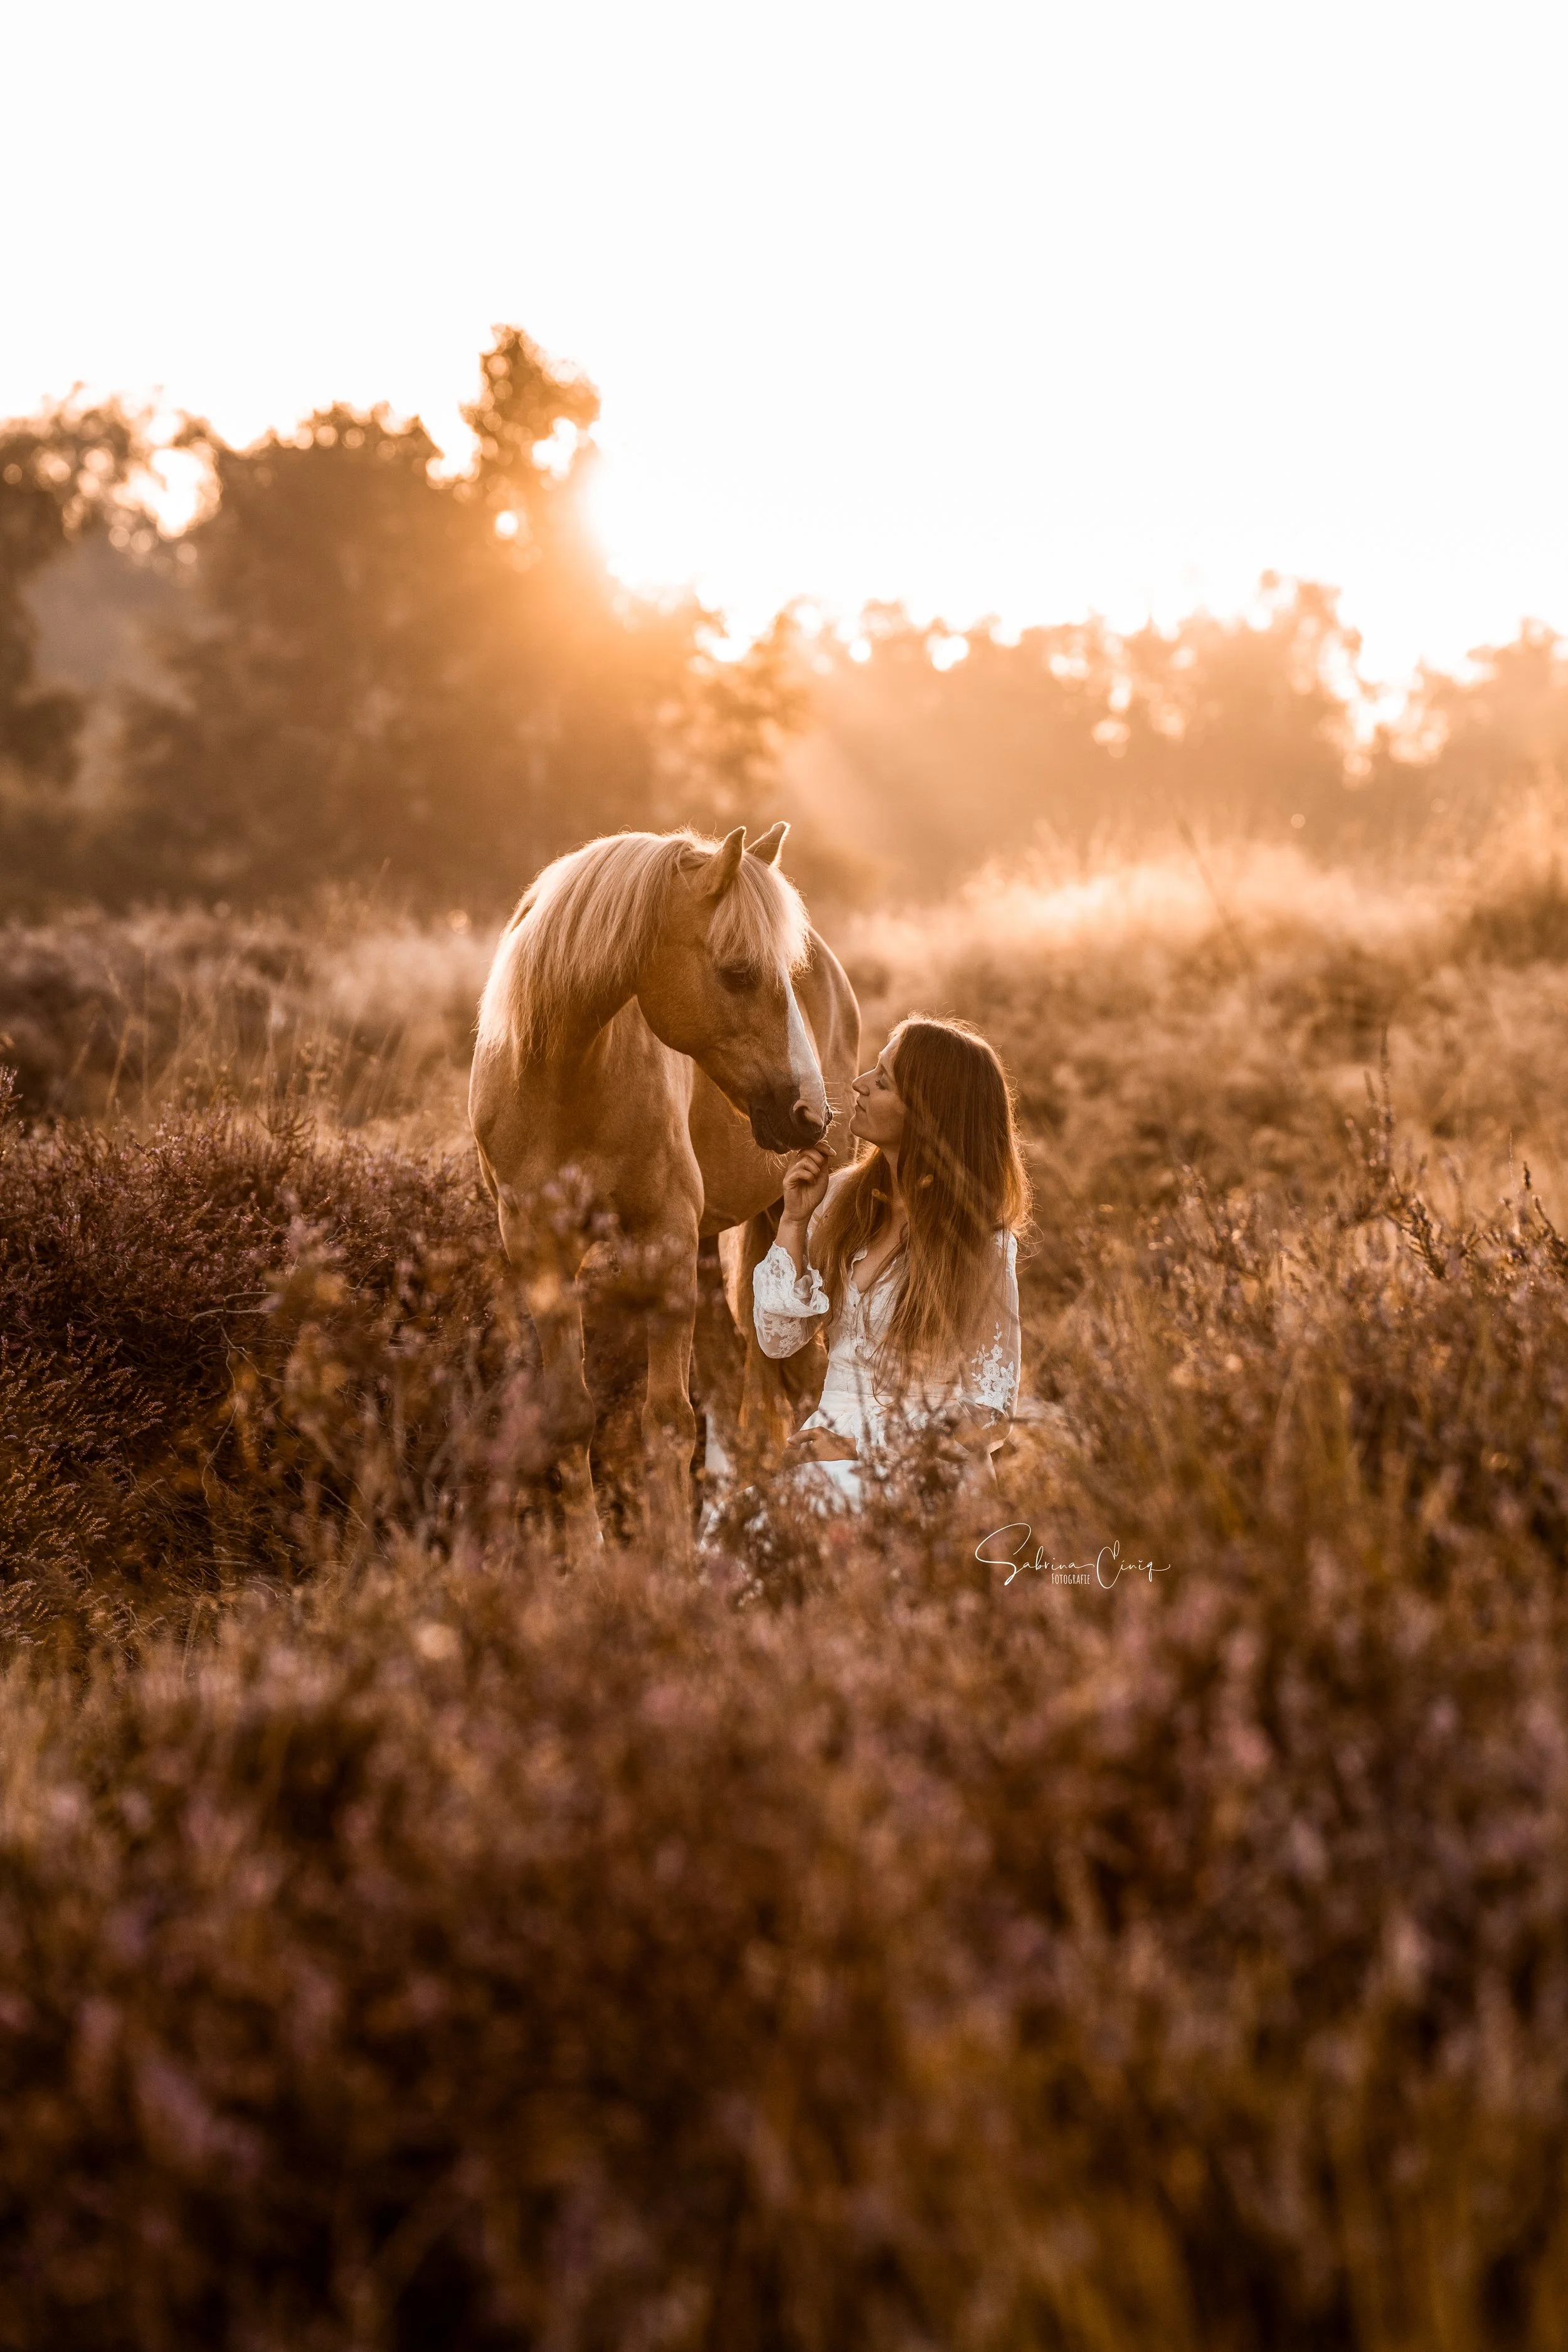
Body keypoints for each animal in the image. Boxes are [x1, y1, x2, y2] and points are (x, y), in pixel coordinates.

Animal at [469, 822, 860, 1562]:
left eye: (784, 976)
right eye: (737, 971)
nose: (809, 1114)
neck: (566, 1080)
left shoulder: (664, 1242)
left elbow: (670, 1419)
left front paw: (670, 1561)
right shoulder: (537, 1249)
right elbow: (573, 1415)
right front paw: (590, 1557)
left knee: (791, 1380)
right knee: (743, 1384)